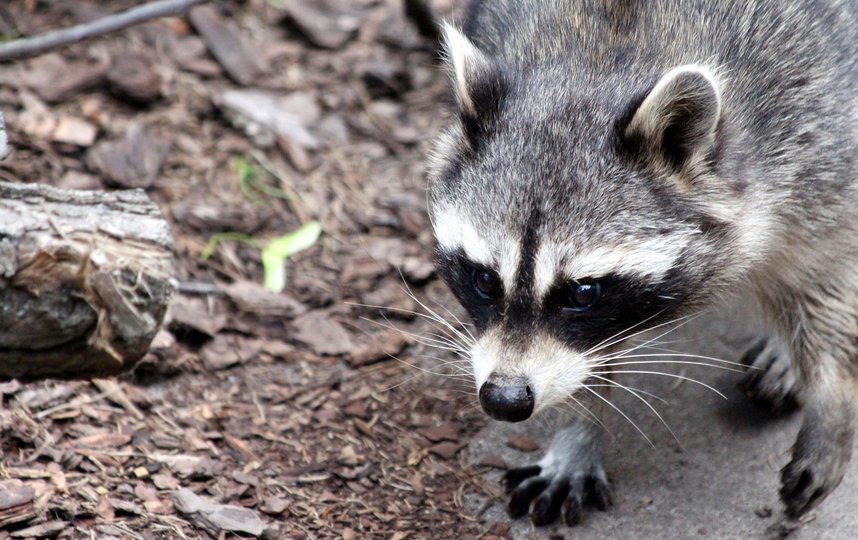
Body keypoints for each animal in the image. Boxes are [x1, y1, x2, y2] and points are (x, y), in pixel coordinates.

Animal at [428, 0, 856, 528]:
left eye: (582, 291)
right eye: (485, 279)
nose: (504, 399)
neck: (602, 61)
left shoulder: (818, 124)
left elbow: (826, 275)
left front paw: (833, 404)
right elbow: (586, 359)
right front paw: (578, 432)